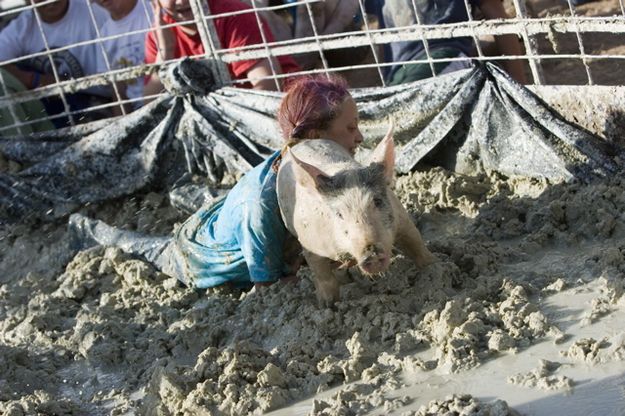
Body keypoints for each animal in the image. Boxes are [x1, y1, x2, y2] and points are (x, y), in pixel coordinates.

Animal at [276, 124, 436, 306]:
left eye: (377, 201)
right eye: (339, 214)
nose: (371, 253)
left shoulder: (401, 218)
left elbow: (416, 242)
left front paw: (433, 266)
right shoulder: (309, 244)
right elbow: (322, 275)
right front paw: (327, 305)